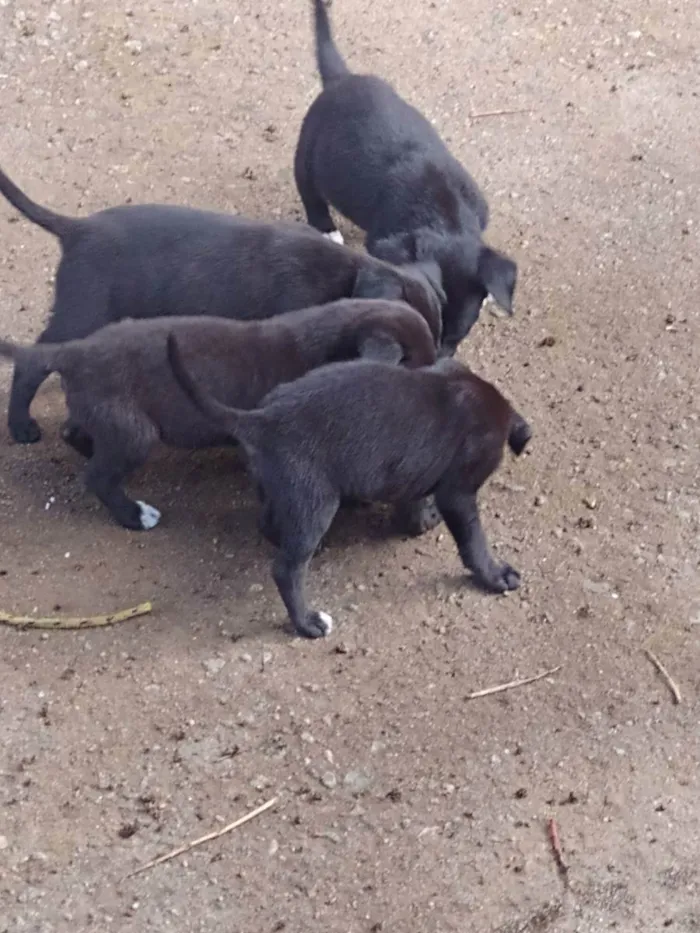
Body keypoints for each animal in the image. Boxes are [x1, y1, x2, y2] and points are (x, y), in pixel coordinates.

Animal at [292, 0, 516, 356]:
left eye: (456, 338)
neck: (445, 219)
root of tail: (342, 79)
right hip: (308, 153)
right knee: (310, 192)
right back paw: (326, 230)